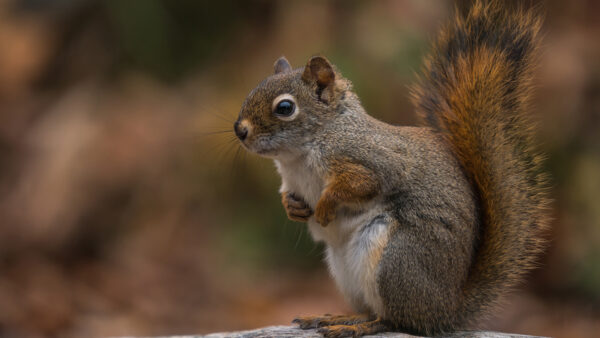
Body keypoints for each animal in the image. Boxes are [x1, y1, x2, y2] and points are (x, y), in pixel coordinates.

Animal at [233, 1, 548, 336]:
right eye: (254, 90)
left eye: (285, 108)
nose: (240, 130)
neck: (298, 155)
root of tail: (445, 311)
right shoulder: (291, 180)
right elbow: (289, 196)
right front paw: (293, 208)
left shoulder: (371, 160)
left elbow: (358, 185)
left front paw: (324, 208)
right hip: (346, 272)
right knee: (373, 310)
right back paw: (338, 317)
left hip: (395, 262)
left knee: (395, 319)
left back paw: (358, 326)